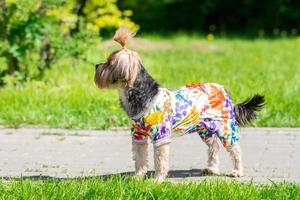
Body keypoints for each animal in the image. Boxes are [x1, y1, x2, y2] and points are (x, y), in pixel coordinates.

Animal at [94, 27, 264, 182]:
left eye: (109, 63)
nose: (96, 65)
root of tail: (223, 89)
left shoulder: (160, 135)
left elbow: (160, 160)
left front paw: (158, 179)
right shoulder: (138, 135)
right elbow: (140, 158)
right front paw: (138, 177)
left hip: (225, 126)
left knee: (235, 149)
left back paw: (237, 171)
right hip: (205, 129)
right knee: (213, 146)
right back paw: (212, 168)